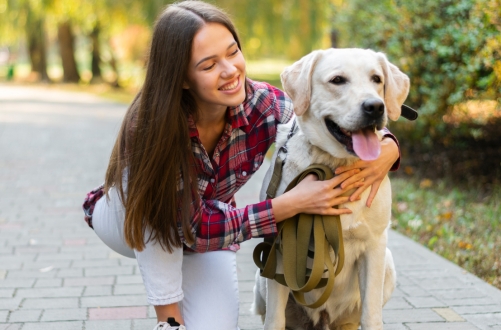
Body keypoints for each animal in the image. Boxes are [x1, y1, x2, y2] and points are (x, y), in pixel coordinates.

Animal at [252, 49, 408, 330]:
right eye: (337, 80)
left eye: (377, 79)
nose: (375, 106)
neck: (335, 165)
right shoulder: (279, 248)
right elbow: (274, 318)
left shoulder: (375, 245)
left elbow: (371, 315)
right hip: (262, 276)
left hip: (387, 265)